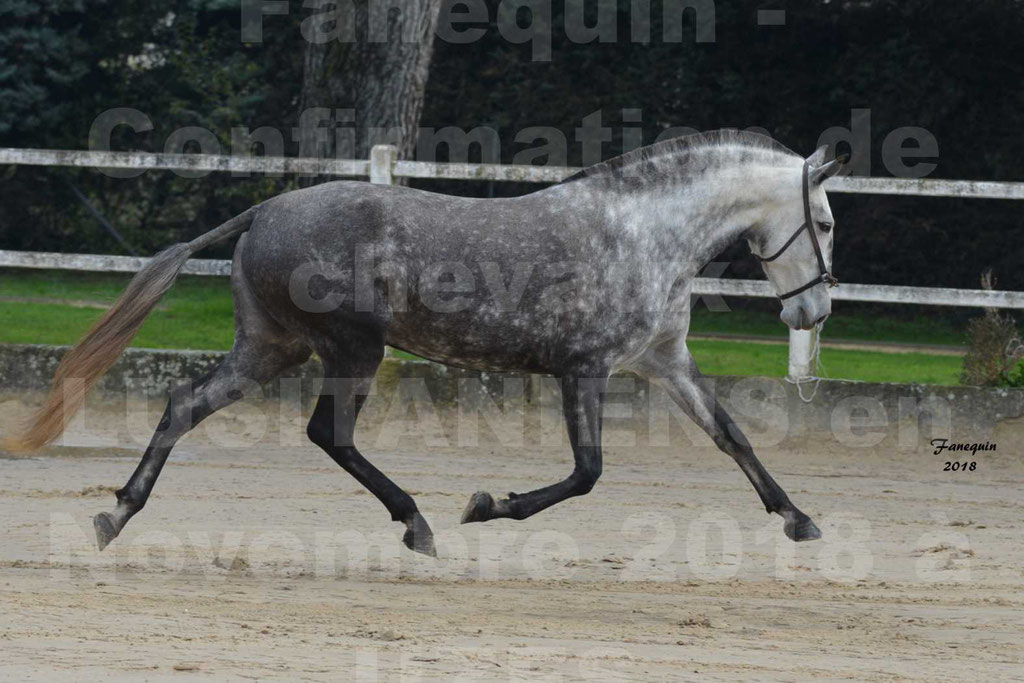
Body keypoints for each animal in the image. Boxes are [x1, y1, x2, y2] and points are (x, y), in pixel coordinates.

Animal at [8, 129, 843, 557]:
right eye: (828, 222)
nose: (815, 311)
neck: (642, 234)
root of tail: (263, 211)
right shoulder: (585, 367)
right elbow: (586, 473)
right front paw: (486, 504)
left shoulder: (664, 360)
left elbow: (732, 435)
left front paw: (800, 518)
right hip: (351, 348)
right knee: (328, 433)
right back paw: (418, 522)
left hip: (273, 347)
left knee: (185, 405)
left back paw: (116, 514)